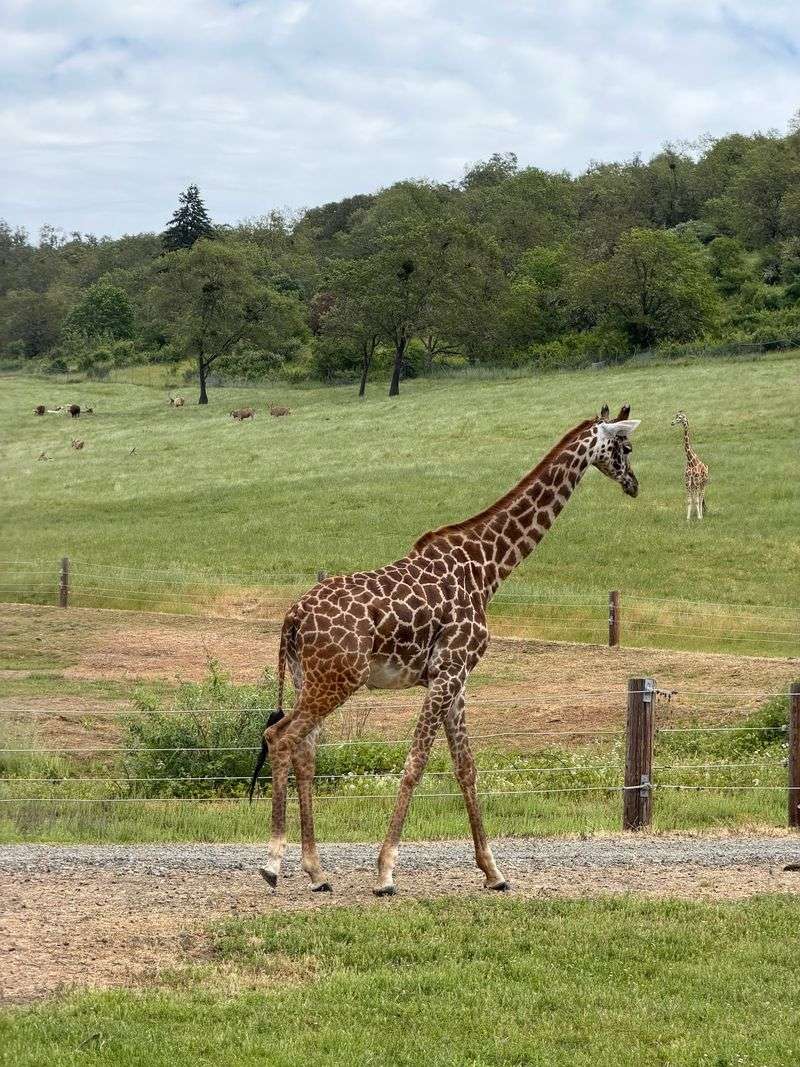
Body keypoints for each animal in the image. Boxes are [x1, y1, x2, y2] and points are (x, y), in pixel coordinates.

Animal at [250, 404, 641, 896]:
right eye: (626, 447)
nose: (634, 484)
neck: (489, 569)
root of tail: (292, 619)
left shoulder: (455, 679)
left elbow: (465, 767)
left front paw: (493, 871)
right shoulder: (451, 670)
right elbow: (416, 762)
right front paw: (385, 872)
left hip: (311, 679)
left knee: (304, 750)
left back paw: (317, 872)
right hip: (337, 680)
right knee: (279, 737)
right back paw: (273, 864)